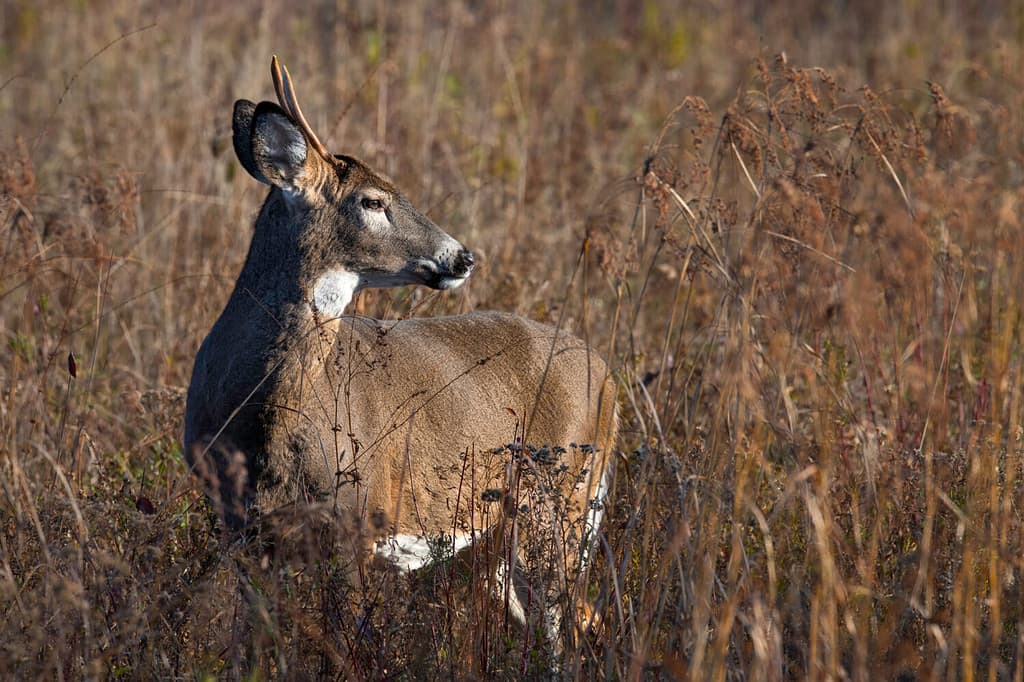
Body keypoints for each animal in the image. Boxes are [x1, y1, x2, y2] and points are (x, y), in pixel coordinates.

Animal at [183, 56, 618, 653]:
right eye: (372, 200)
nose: (462, 256)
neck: (261, 419)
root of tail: (610, 373)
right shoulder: (240, 528)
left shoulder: (359, 516)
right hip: (505, 533)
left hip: (565, 497)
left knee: (569, 619)